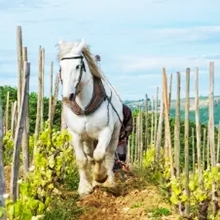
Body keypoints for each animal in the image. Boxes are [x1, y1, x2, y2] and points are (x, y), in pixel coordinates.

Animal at [57, 38, 124, 197]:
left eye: (78, 66)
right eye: (61, 67)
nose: (67, 97)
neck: (84, 107)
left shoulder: (105, 131)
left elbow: (100, 155)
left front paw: (101, 177)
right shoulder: (75, 134)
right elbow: (82, 160)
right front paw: (84, 188)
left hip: (115, 133)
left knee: (109, 155)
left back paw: (110, 182)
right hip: (87, 138)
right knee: (90, 155)